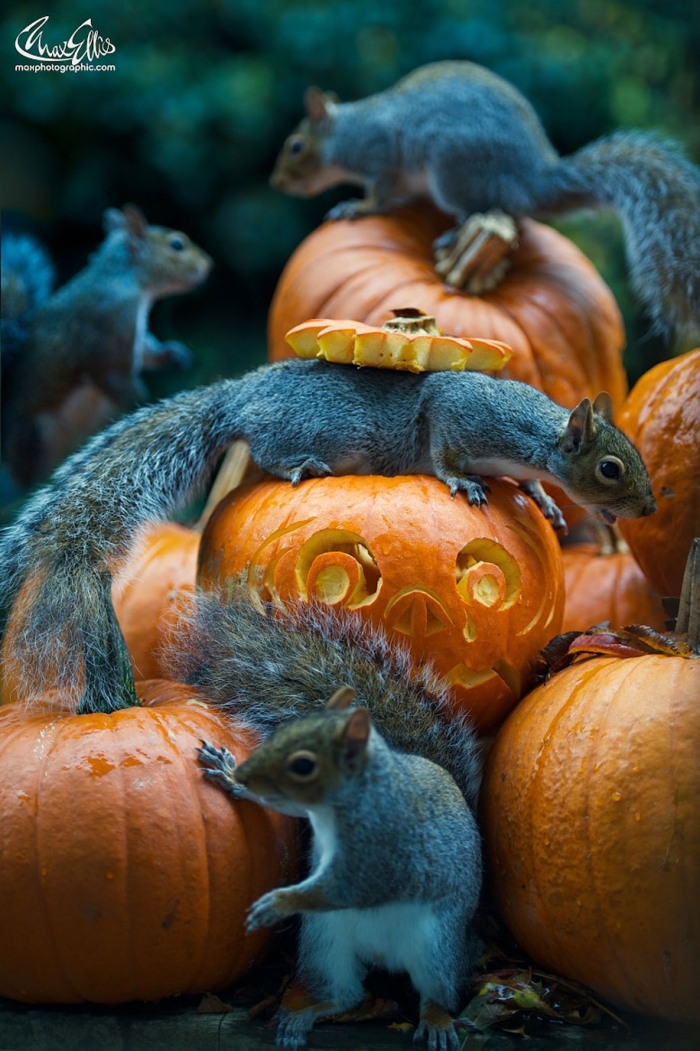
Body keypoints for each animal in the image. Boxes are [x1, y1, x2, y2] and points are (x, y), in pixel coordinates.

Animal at [0, 356, 655, 713]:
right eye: (610, 468)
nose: (648, 507)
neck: (536, 439)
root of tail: (238, 395)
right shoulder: (460, 415)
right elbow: (443, 446)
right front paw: (461, 482)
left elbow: (530, 485)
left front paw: (544, 502)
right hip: (299, 429)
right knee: (265, 450)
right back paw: (300, 466)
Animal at [1, 204, 212, 490]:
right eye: (177, 245)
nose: (208, 264)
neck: (123, 279)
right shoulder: (112, 332)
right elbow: (117, 377)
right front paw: (143, 404)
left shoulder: (134, 336)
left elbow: (147, 354)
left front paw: (174, 353)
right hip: (32, 436)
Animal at [175, 587, 482, 1050]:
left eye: (303, 764)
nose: (247, 774)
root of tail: (384, 956)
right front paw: (229, 776)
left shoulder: (385, 853)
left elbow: (347, 886)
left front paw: (278, 903)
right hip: (327, 944)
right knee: (346, 996)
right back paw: (303, 1015)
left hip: (437, 949)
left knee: (437, 994)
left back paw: (436, 1022)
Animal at [270, 60, 700, 343]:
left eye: (296, 146)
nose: (277, 182)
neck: (348, 131)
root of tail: (530, 180)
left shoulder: (381, 159)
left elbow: (379, 195)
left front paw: (356, 207)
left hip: (454, 169)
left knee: (491, 209)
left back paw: (455, 232)